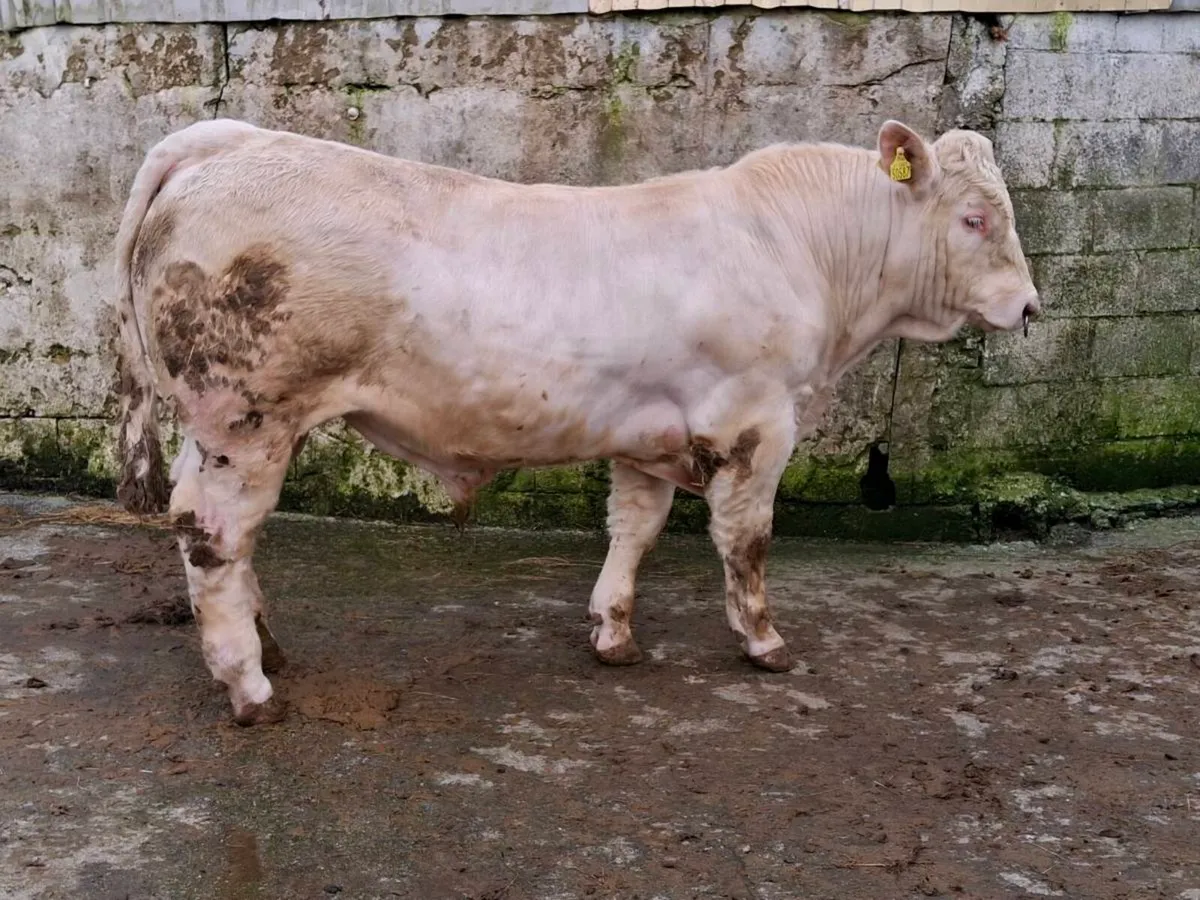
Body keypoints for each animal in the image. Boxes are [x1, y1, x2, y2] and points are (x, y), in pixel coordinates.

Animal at [112, 118, 1040, 726]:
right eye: (976, 218)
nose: (1030, 306)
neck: (799, 249)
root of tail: (230, 140)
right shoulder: (756, 423)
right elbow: (747, 543)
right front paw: (764, 640)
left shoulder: (648, 431)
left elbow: (635, 528)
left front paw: (613, 631)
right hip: (248, 417)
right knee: (213, 535)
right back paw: (249, 684)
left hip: (232, 424)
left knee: (219, 535)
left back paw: (268, 646)